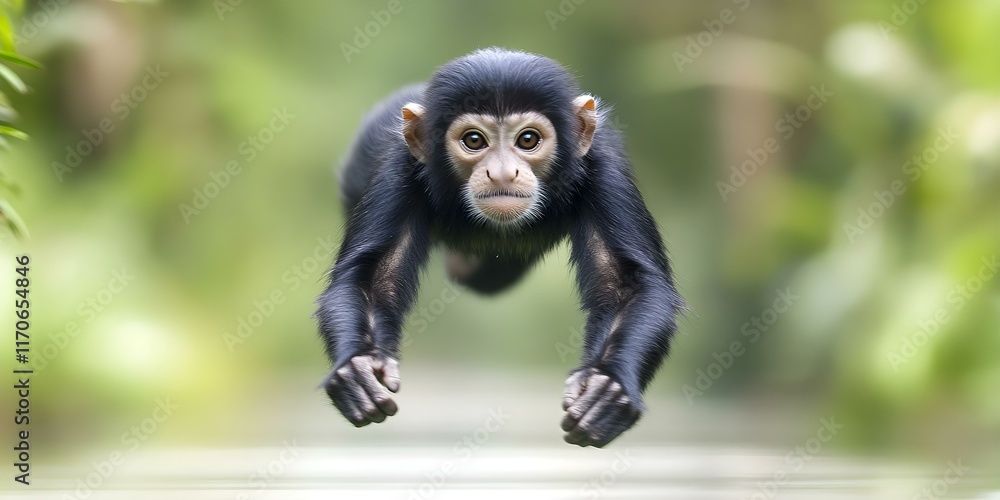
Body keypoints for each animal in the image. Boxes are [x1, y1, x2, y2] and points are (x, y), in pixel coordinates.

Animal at [316, 48, 684, 448]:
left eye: (528, 139)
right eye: (474, 140)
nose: (504, 172)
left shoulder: (604, 170)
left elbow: (625, 287)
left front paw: (607, 385)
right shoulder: (398, 170)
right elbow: (372, 281)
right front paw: (359, 367)